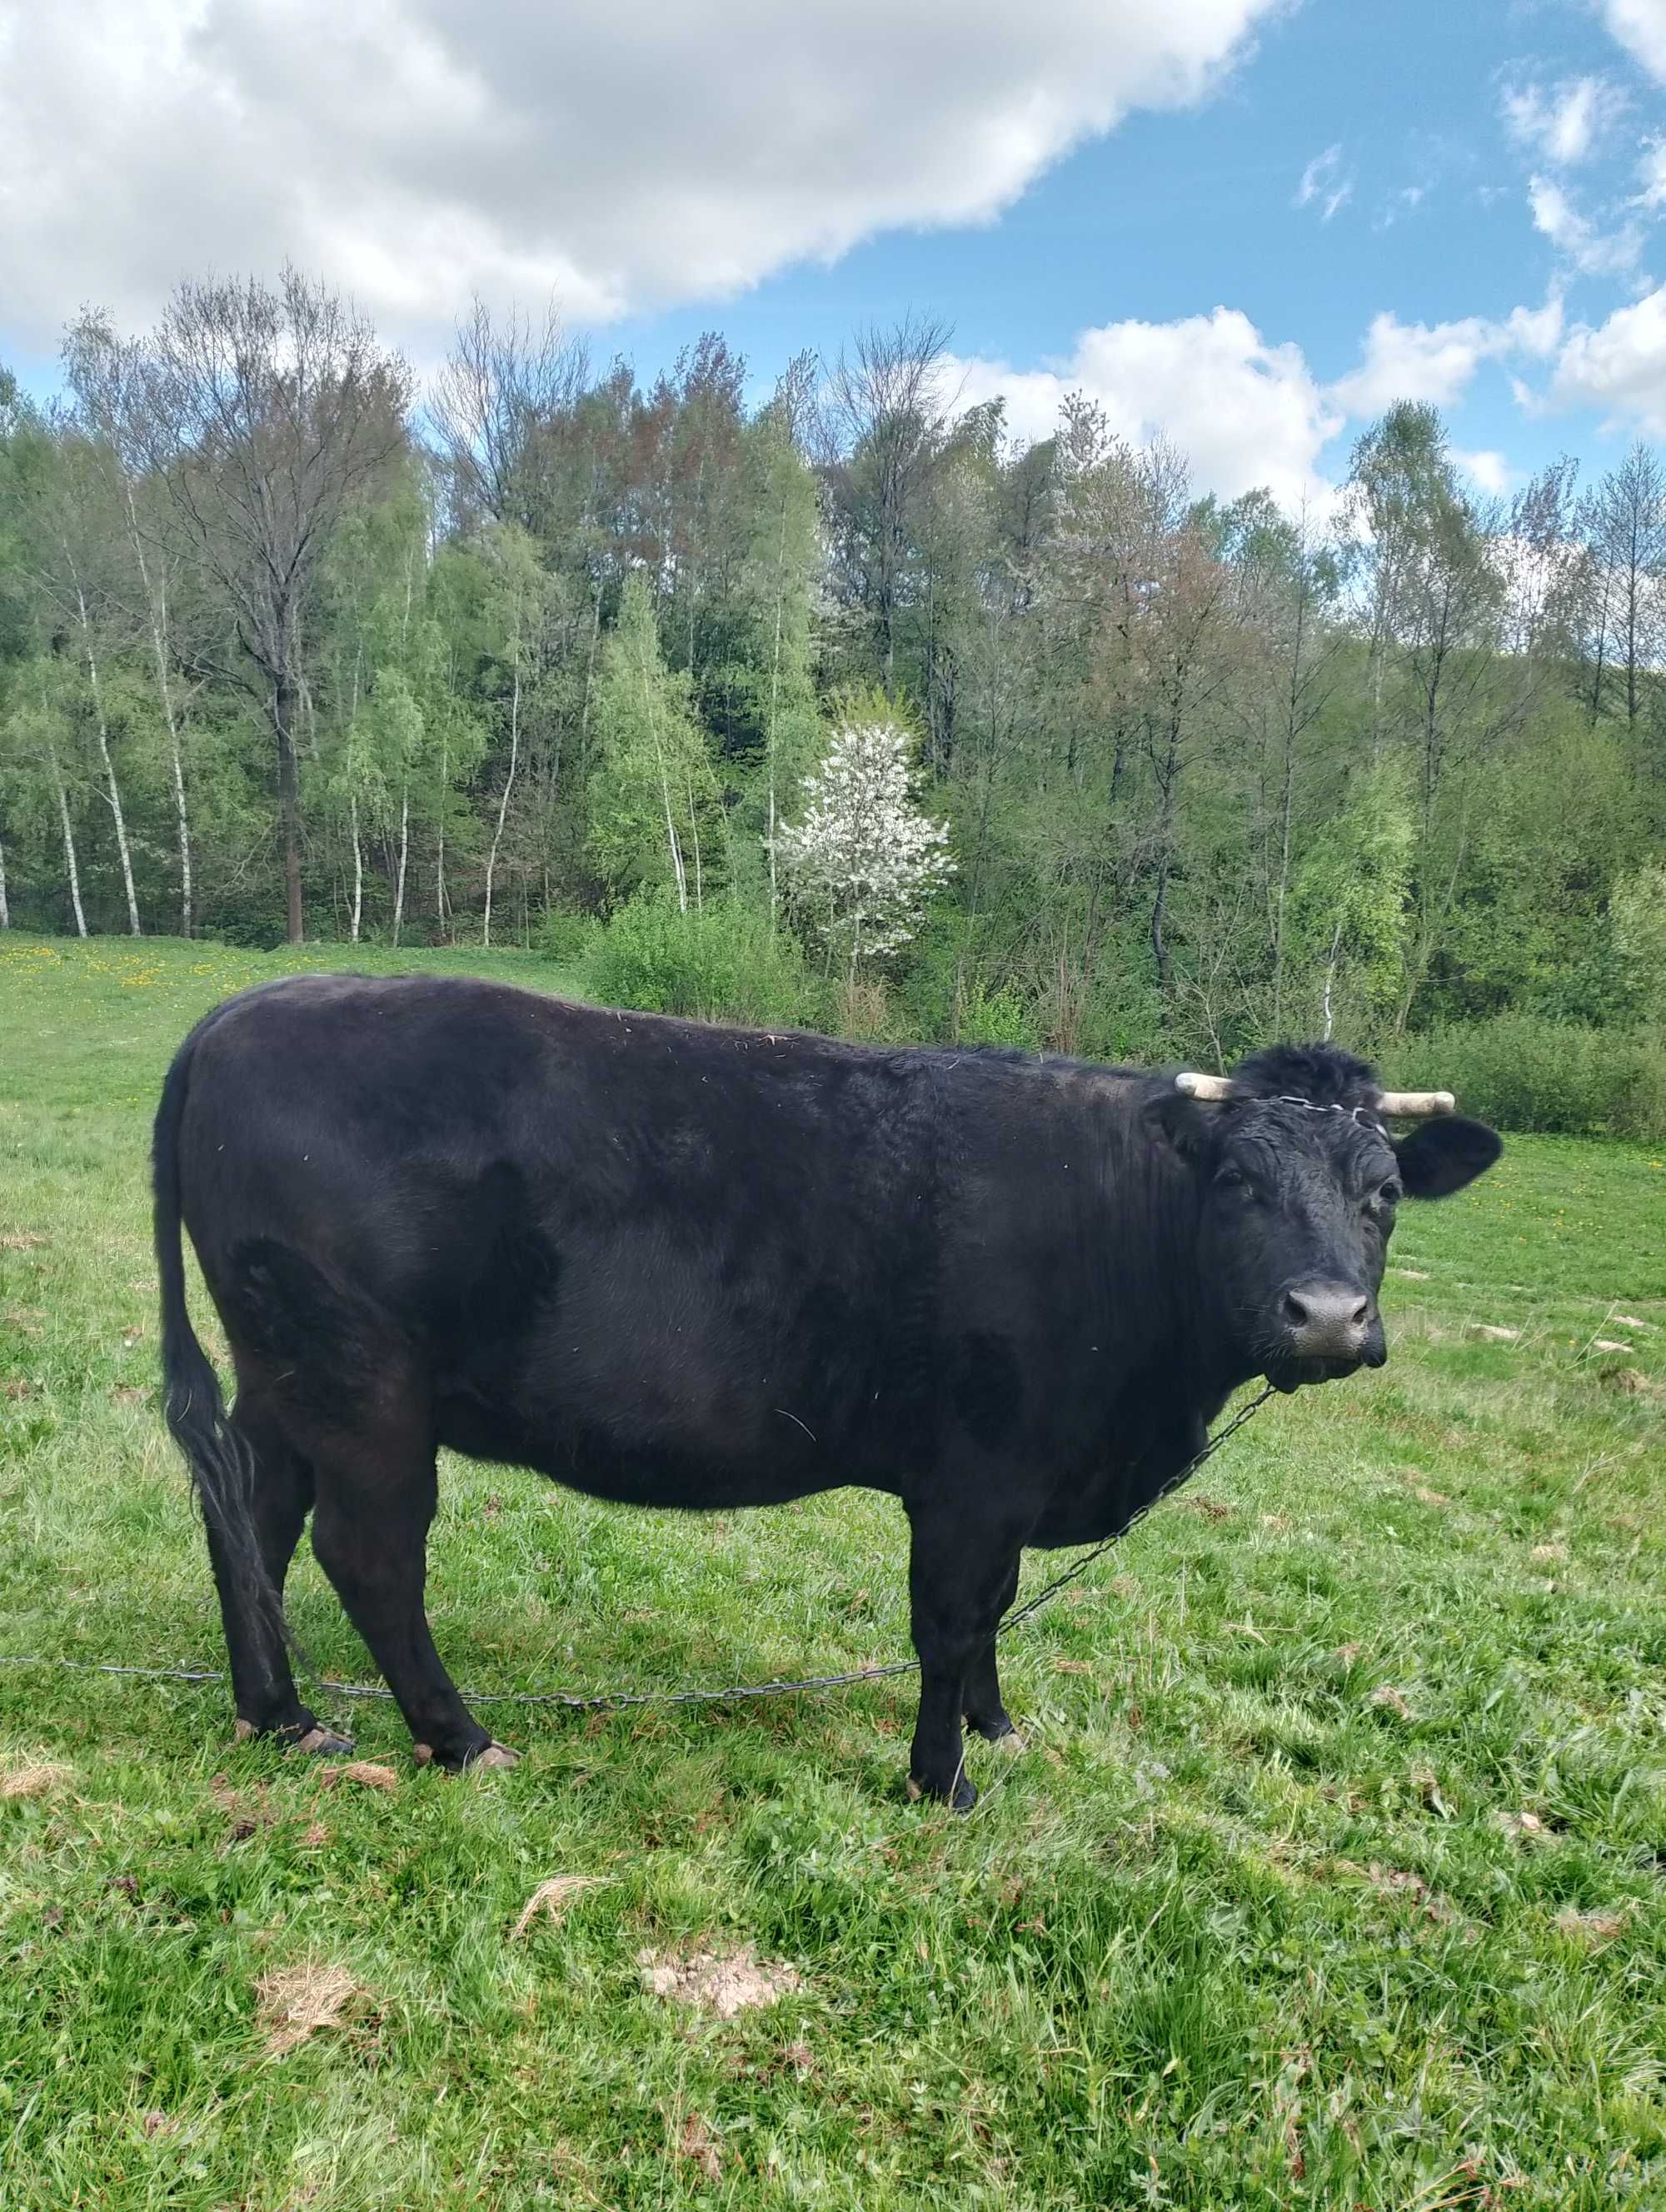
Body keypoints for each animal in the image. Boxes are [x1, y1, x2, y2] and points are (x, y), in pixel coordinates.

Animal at [156, 977, 1504, 1805]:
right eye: (1237, 1183)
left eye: (1384, 1191)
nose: (1326, 1317)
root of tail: (246, 1008)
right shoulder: (974, 1475)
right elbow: (952, 1622)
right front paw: (941, 1780)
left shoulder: (1010, 1484)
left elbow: (994, 1618)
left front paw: (995, 1729)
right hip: (364, 1389)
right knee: (369, 1557)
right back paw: (462, 1739)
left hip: (285, 1380)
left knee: (248, 1523)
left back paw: (278, 1714)